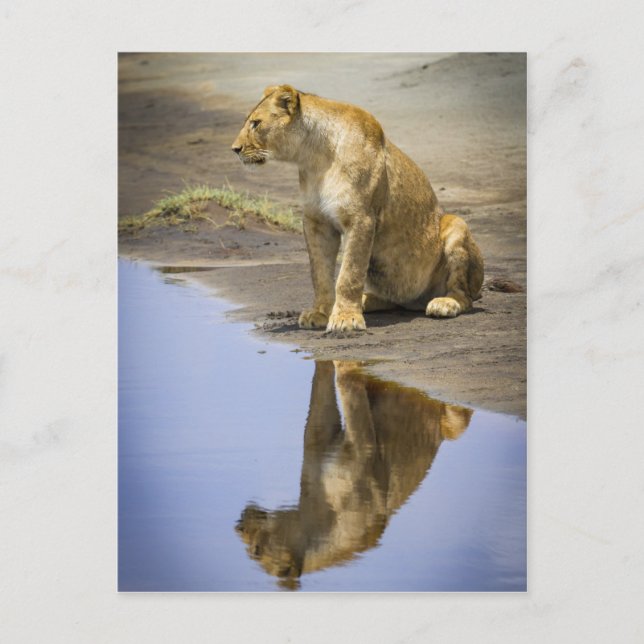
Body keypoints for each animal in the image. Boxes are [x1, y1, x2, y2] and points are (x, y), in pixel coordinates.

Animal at [232, 85, 484, 332]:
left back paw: (444, 303)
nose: (235, 149)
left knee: (464, 296)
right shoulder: (317, 222)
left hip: (457, 225)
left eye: (256, 123)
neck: (314, 158)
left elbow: (349, 274)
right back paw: (366, 300)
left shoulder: (361, 218)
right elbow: (320, 274)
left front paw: (346, 319)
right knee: (392, 299)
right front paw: (320, 313)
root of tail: (416, 302)